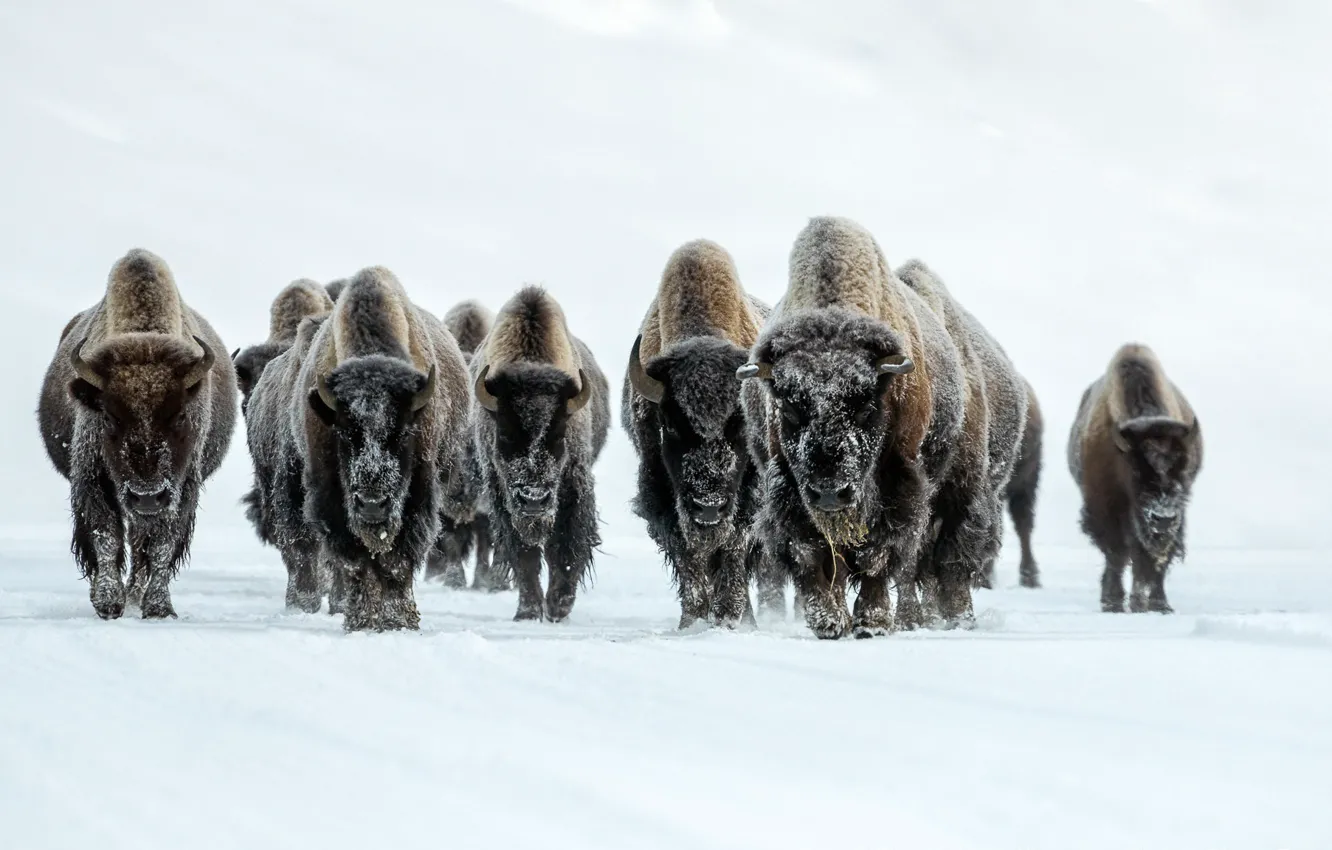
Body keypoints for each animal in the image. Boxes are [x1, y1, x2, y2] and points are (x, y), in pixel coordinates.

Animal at [37, 249, 237, 619]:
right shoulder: (93, 478)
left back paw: (136, 594)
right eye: (109, 416)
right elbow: (105, 534)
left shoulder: (180, 488)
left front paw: (158, 607)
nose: (146, 496)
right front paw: (107, 602)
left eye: (180, 415)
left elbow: (161, 545)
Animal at [296, 266, 471, 631]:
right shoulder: (330, 497)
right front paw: (362, 620)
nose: (373, 504)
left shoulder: (419, 495)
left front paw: (398, 621)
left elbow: (397, 560)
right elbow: (356, 561)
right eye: (345, 433)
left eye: (403, 432)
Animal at [471, 286, 609, 622]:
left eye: (559, 435)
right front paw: (529, 611)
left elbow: (566, 547)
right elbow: (525, 554)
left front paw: (558, 606)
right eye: (504, 435)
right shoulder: (503, 496)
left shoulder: (573, 487)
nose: (534, 499)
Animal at [1068, 344, 1202, 613]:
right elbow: (1116, 554)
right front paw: (1113, 602)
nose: (1163, 517)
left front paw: (1158, 605)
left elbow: (1154, 559)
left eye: (1184, 468)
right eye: (1136, 471)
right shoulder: (1106, 508)